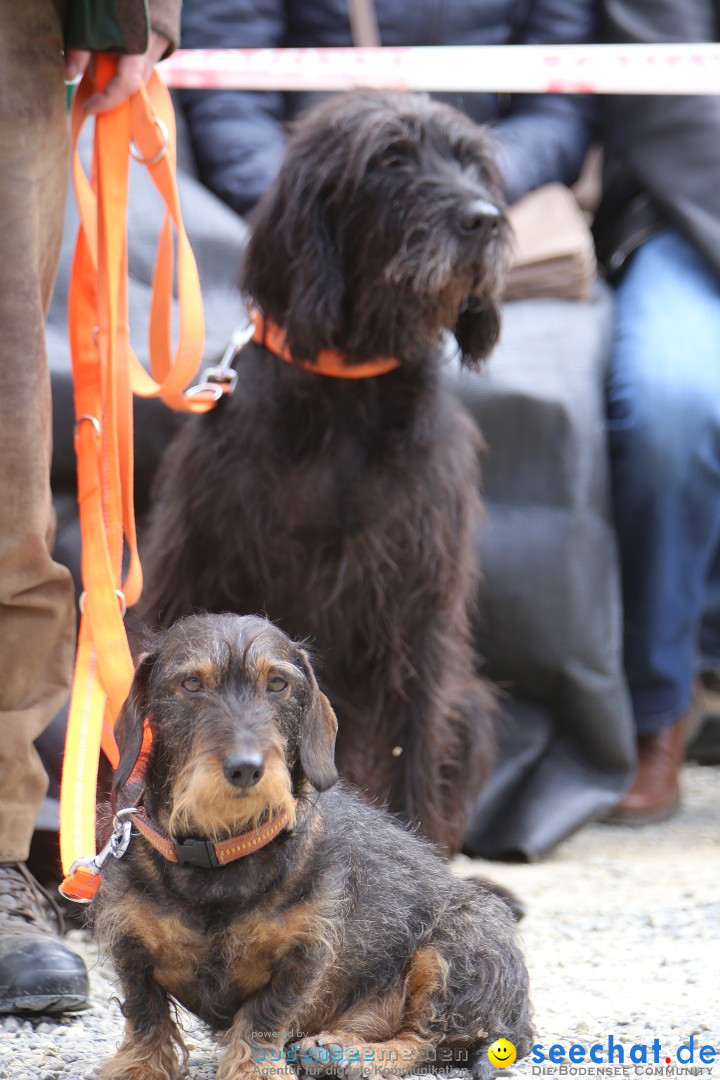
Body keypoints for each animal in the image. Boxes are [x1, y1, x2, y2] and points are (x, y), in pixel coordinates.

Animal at [94, 617, 535, 1080]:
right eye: (192, 683)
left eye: (277, 683)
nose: (246, 768)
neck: (221, 854)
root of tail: (520, 1023)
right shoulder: (130, 945)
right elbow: (145, 1012)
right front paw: (139, 1067)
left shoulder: (303, 954)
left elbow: (265, 1017)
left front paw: (254, 1069)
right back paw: (334, 1046)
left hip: (459, 946)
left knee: (427, 1043)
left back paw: (355, 1058)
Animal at [138, 90, 509, 851]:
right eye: (390, 159)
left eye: (474, 164)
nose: (485, 220)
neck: (349, 400)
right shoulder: (200, 565)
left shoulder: (419, 603)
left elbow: (414, 738)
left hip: (475, 705)